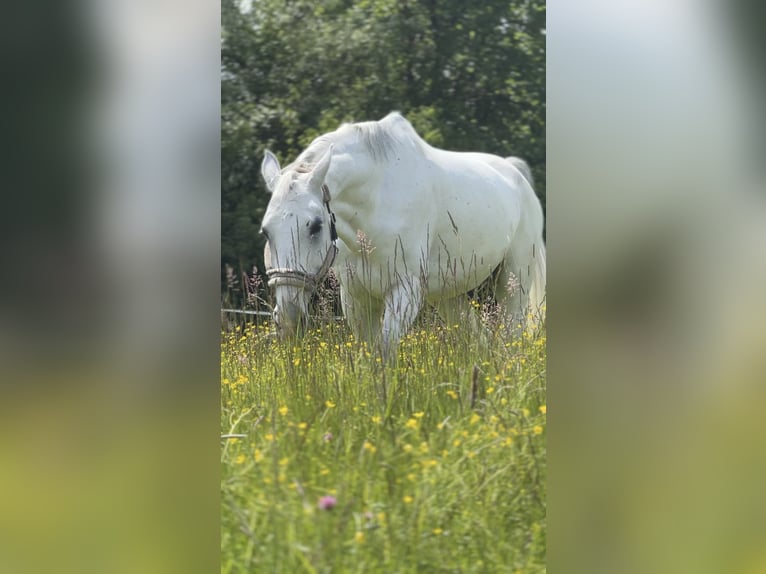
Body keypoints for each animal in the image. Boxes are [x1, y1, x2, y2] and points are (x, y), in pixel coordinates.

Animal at [259, 112, 546, 356]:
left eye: (316, 225)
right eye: (266, 232)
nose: (289, 318)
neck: (376, 202)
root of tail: (517, 175)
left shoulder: (405, 292)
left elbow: (385, 352)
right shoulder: (355, 297)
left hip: (514, 282)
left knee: (512, 336)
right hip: (449, 296)